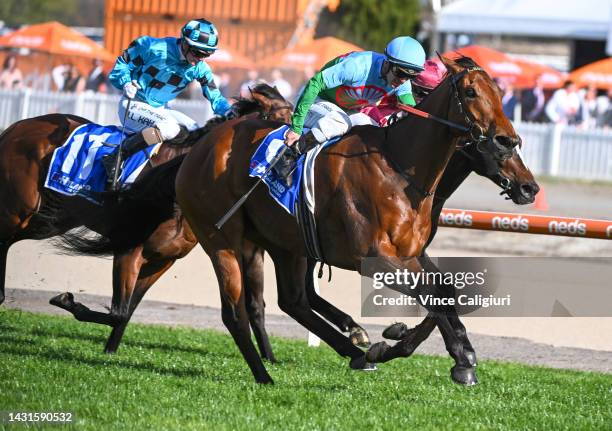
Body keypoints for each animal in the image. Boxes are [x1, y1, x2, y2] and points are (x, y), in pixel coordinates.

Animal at [0, 83, 292, 358]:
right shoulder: (129, 249)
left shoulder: (163, 258)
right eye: (283, 123)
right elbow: (118, 311)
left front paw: (109, 352)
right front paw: (66, 301)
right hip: (18, 210)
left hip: (48, 219)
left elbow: (125, 311)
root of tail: (16, 128)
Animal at [173, 56, 524, 384]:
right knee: (235, 313)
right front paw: (450, 356)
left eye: (499, 93)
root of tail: (201, 146)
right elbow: (434, 293)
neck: (400, 169)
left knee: (294, 301)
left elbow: (443, 290)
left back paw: (355, 351)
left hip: (284, 242)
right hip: (222, 241)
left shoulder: (409, 253)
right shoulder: (374, 257)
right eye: (470, 91)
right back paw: (265, 375)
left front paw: (450, 351)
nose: (508, 141)